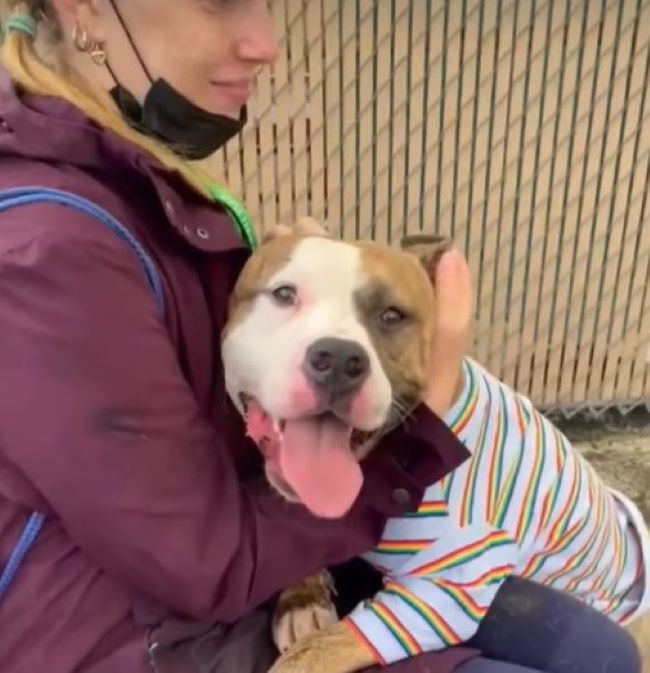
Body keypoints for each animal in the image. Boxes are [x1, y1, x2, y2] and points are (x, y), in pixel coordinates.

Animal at [219, 224, 648, 672]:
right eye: (284, 294)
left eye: (392, 316)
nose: (338, 359)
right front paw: (303, 597)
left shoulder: (450, 586)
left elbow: (323, 649)